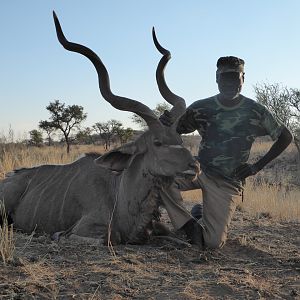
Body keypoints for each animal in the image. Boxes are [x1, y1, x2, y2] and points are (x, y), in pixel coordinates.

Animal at [0, 12, 199, 245]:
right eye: (157, 142)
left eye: (180, 140)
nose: (194, 166)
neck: (120, 196)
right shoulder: (87, 228)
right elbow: (106, 238)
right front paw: (58, 235)